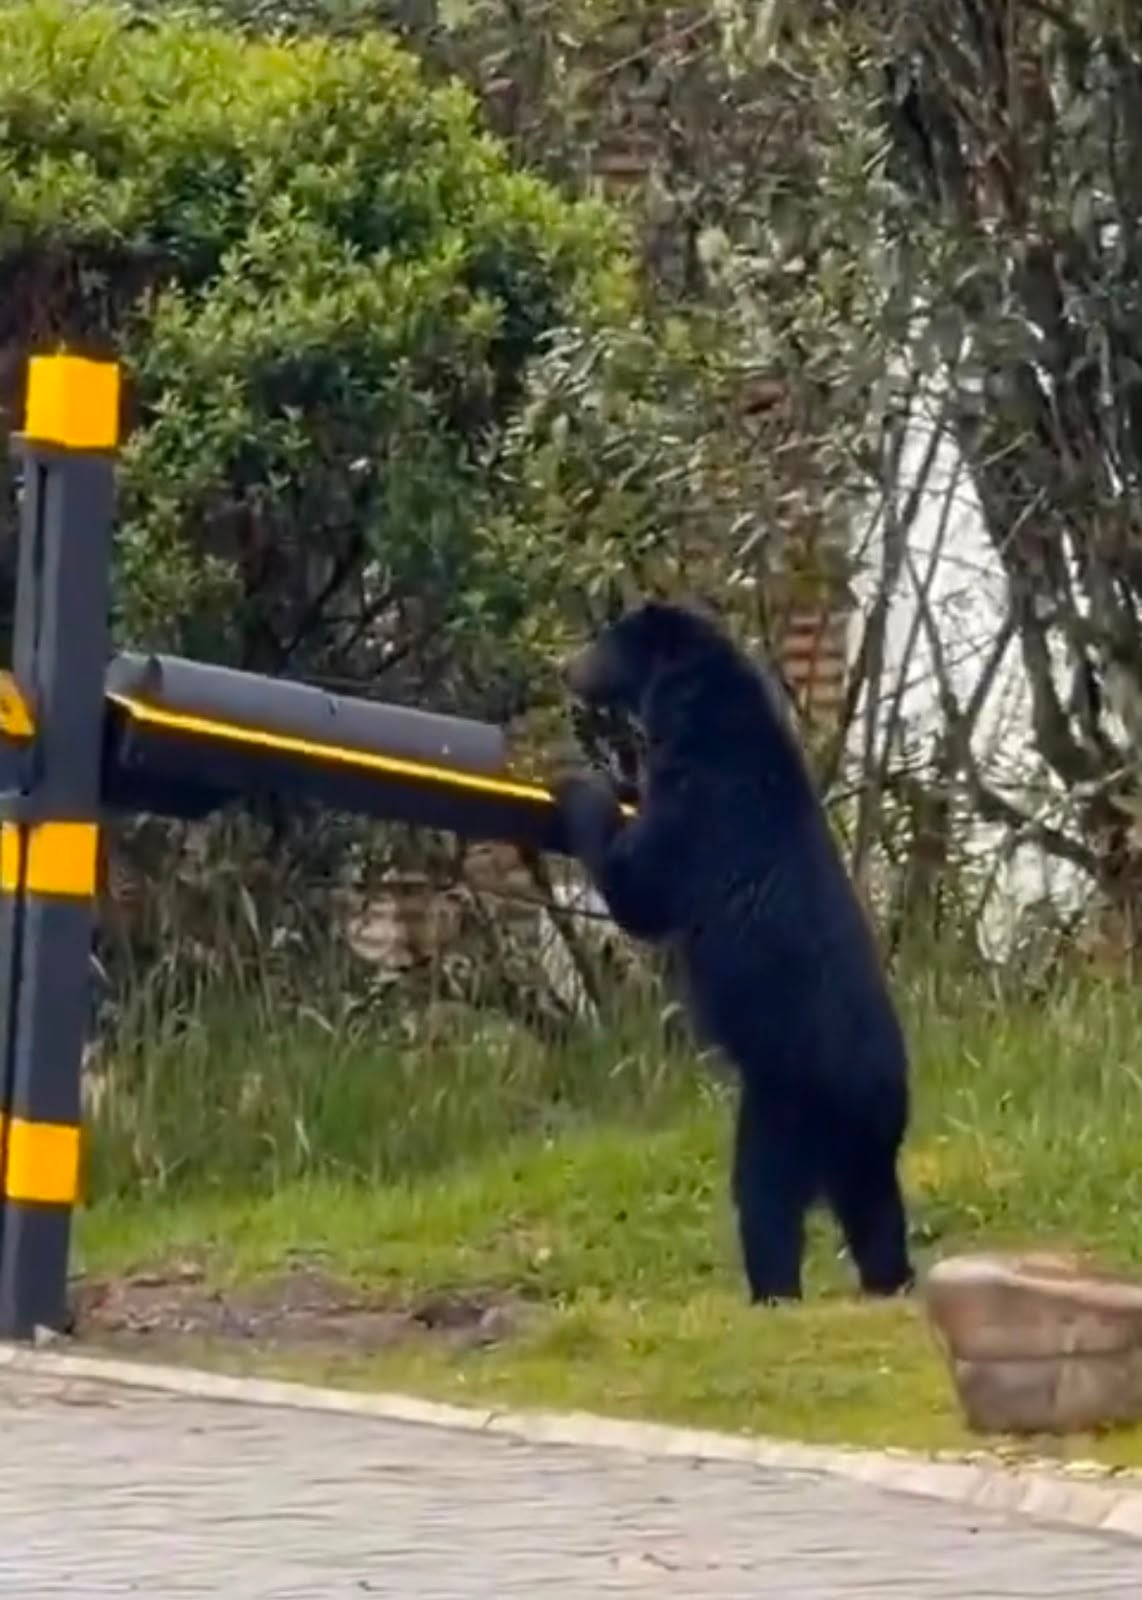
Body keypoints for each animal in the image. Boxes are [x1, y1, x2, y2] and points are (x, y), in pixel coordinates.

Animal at [554, 599, 914, 1303]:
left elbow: (638, 887)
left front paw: (582, 787)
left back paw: (772, 1290)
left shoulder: (702, 807)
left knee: (764, 1194)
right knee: (876, 1210)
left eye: (603, 643)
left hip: (785, 1100)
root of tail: (881, 1089)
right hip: (860, 1142)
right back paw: (890, 1280)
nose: (567, 668)